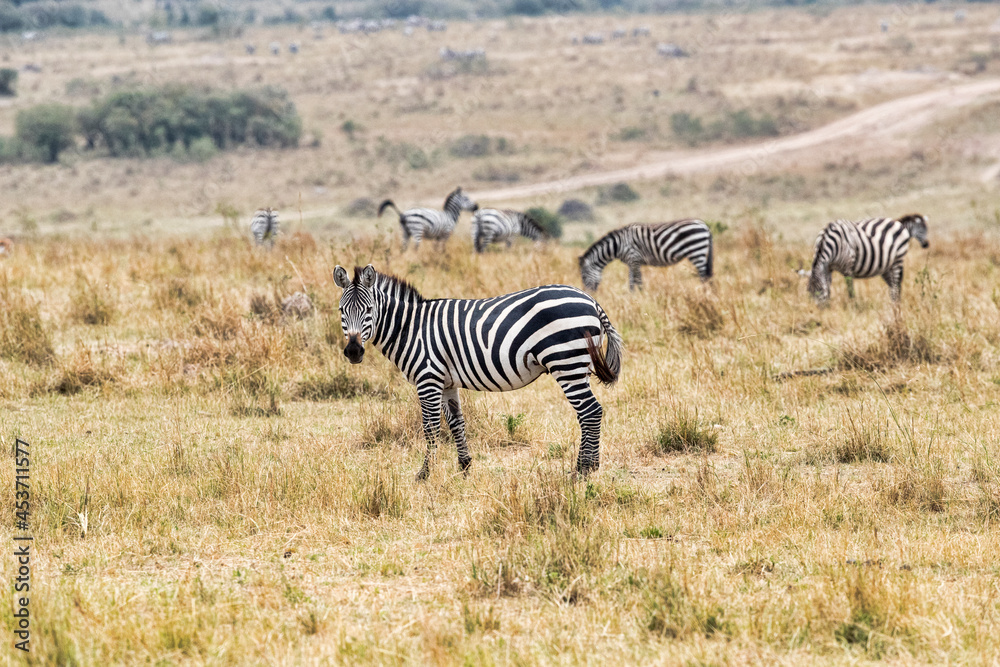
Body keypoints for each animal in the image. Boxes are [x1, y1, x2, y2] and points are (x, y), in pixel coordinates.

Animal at [333, 264, 623, 478]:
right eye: (341, 311)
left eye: (369, 310)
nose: (354, 352)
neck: (410, 328)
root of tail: (591, 300)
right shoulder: (447, 382)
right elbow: (456, 423)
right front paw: (465, 468)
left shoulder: (428, 378)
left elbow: (430, 427)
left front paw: (425, 474)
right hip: (576, 365)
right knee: (586, 413)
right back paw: (583, 466)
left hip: (565, 362)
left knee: (591, 411)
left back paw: (585, 470)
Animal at [579, 219, 714, 291]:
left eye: (584, 277)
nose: (588, 293)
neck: (618, 245)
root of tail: (704, 225)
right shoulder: (631, 262)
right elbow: (631, 283)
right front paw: (632, 299)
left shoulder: (634, 259)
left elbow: (638, 281)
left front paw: (642, 297)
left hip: (697, 250)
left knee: (704, 277)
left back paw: (704, 294)